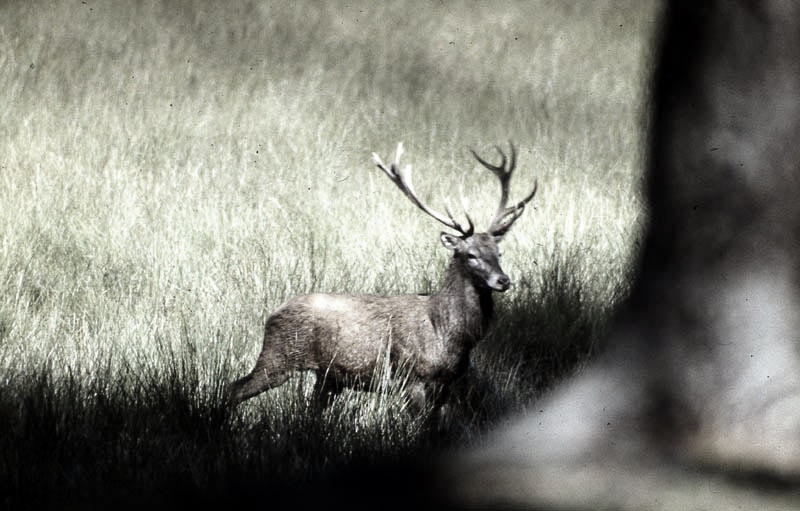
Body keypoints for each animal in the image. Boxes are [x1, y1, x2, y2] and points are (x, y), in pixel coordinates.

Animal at [227, 142, 536, 414]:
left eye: (499, 251)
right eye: (470, 254)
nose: (503, 280)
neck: (450, 335)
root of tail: (272, 314)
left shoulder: (447, 385)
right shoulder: (412, 378)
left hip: (328, 377)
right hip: (279, 356)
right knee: (235, 388)